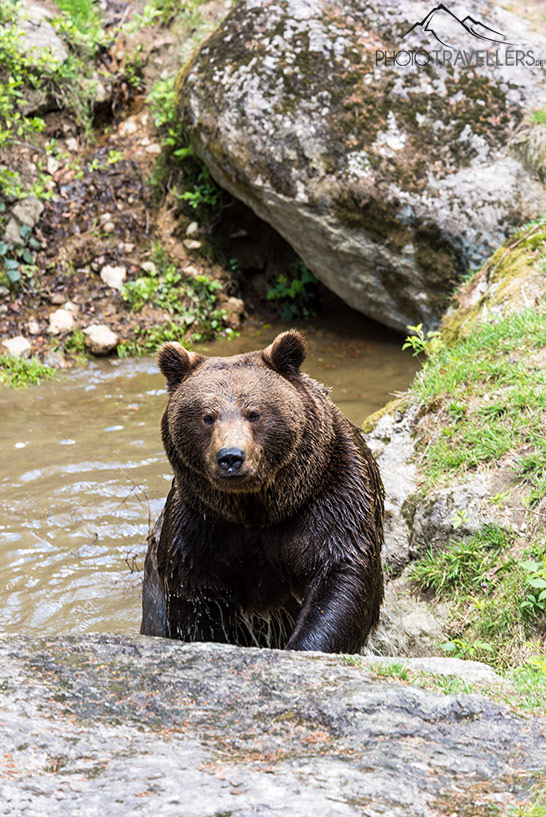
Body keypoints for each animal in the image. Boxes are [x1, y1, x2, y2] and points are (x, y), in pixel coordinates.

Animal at [142, 328, 384, 652]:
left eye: (254, 412)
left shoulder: (329, 499)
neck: (258, 511)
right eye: (207, 416)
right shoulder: (200, 527)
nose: (231, 457)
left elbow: (339, 578)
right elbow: (193, 601)